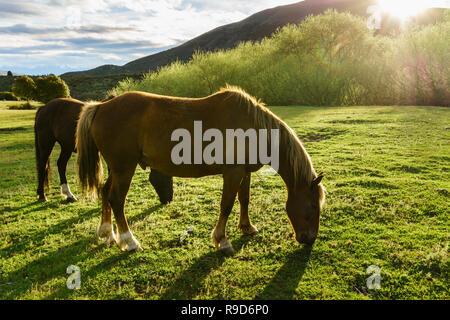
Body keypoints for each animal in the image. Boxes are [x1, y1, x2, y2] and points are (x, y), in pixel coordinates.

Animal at [33, 97, 173, 204]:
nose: (169, 200)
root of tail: (43, 108)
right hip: (46, 144)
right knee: (42, 166)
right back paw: (42, 196)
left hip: (66, 146)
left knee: (61, 165)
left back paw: (69, 195)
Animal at [76, 86, 324, 254]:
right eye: (313, 205)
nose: (310, 239)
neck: (253, 128)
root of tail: (101, 106)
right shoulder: (233, 173)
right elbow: (227, 205)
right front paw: (222, 240)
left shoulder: (245, 172)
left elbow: (244, 199)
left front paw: (247, 227)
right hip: (124, 168)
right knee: (117, 199)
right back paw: (129, 241)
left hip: (116, 169)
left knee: (106, 193)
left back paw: (107, 233)